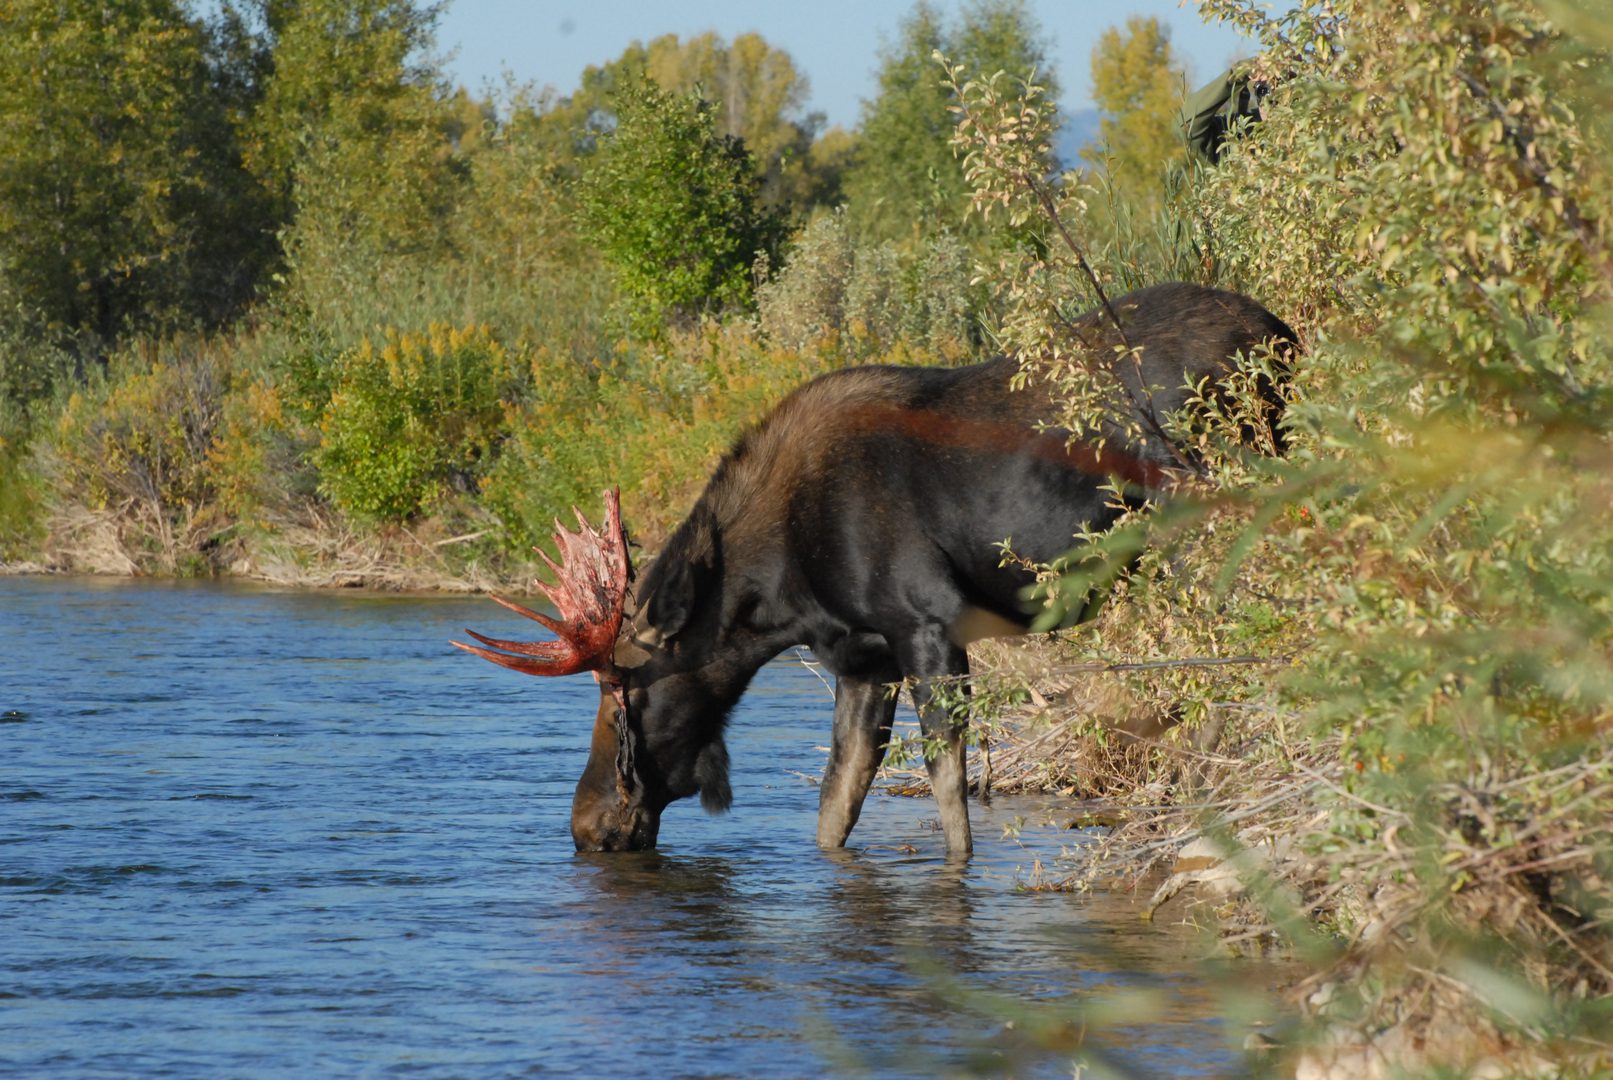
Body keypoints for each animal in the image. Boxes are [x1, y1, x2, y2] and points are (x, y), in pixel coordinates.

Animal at [454, 283, 1296, 857]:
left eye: (617, 693)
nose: (587, 825)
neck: (777, 591)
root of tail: (1284, 337)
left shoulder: (925, 627)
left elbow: (949, 794)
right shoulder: (864, 659)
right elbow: (836, 806)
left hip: (1211, 518)